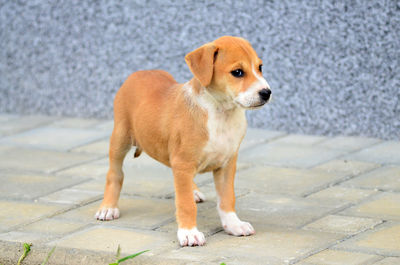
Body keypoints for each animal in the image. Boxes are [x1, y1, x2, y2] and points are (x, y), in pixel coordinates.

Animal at [95, 35, 270, 245]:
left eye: (260, 67)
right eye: (237, 72)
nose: (266, 92)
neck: (220, 113)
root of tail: (140, 72)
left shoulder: (226, 163)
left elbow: (227, 198)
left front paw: (234, 224)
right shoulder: (183, 162)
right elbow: (185, 204)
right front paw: (189, 232)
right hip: (120, 138)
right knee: (115, 174)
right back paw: (108, 207)